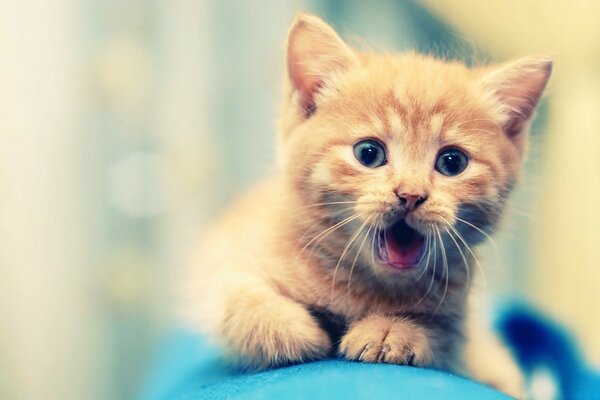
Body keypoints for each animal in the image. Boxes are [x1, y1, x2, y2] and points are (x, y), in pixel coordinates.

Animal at [186, 13, 548, 400]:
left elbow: (444, 336)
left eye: (453, 162)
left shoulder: (460, 325)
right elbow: (234, 295)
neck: (360, 286)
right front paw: (293, 330)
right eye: (368, 153)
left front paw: (393, 330)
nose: (411, 194)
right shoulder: (229, 253)